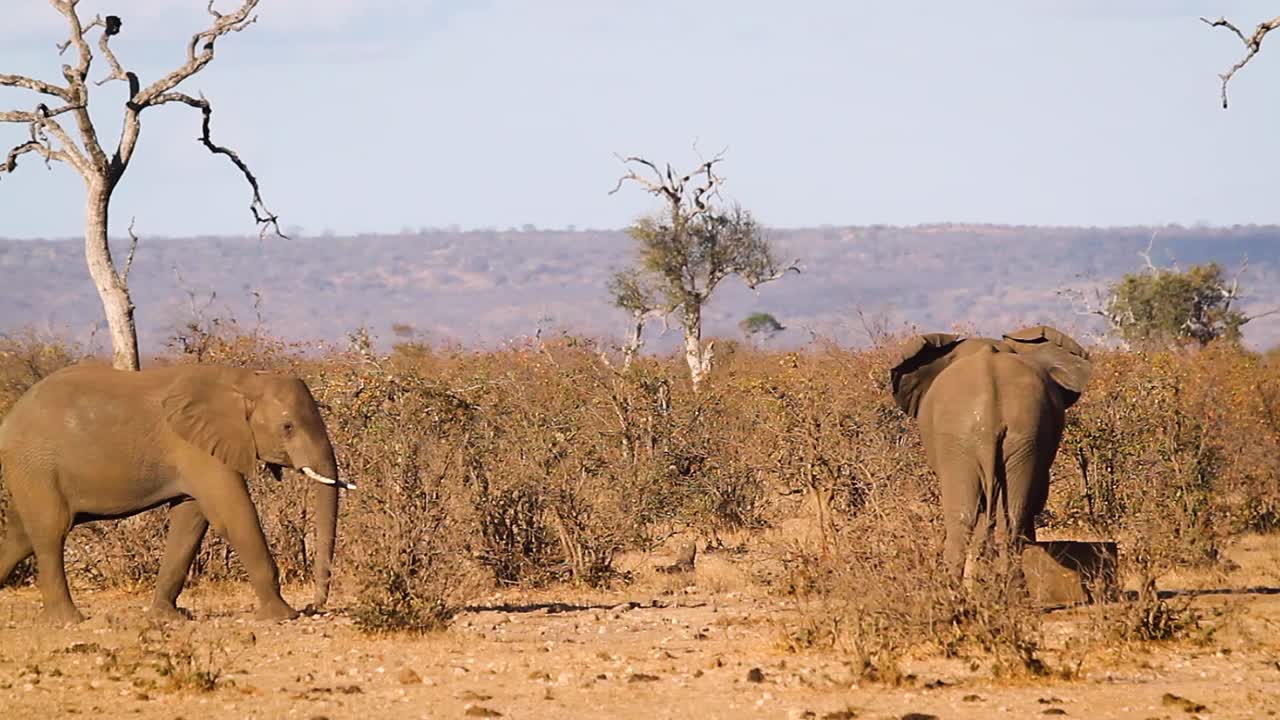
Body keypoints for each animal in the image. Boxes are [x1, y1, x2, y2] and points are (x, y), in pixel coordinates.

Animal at [0, 361, 353, 620]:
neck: (243, 381)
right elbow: (232, 514)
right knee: (50, 531)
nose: (313, 606)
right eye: (287, 427)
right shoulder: (196, 449)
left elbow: (191, 520)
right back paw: (68, 620)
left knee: (20, 534)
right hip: (36, 465)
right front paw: (283, 616)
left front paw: (168, 618)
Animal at [890, 325, 1090, 584]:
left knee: (966, 516)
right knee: (1007, 514)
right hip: (1014, 435)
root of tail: (989, 413)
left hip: (967, 439)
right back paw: (1007, 587)